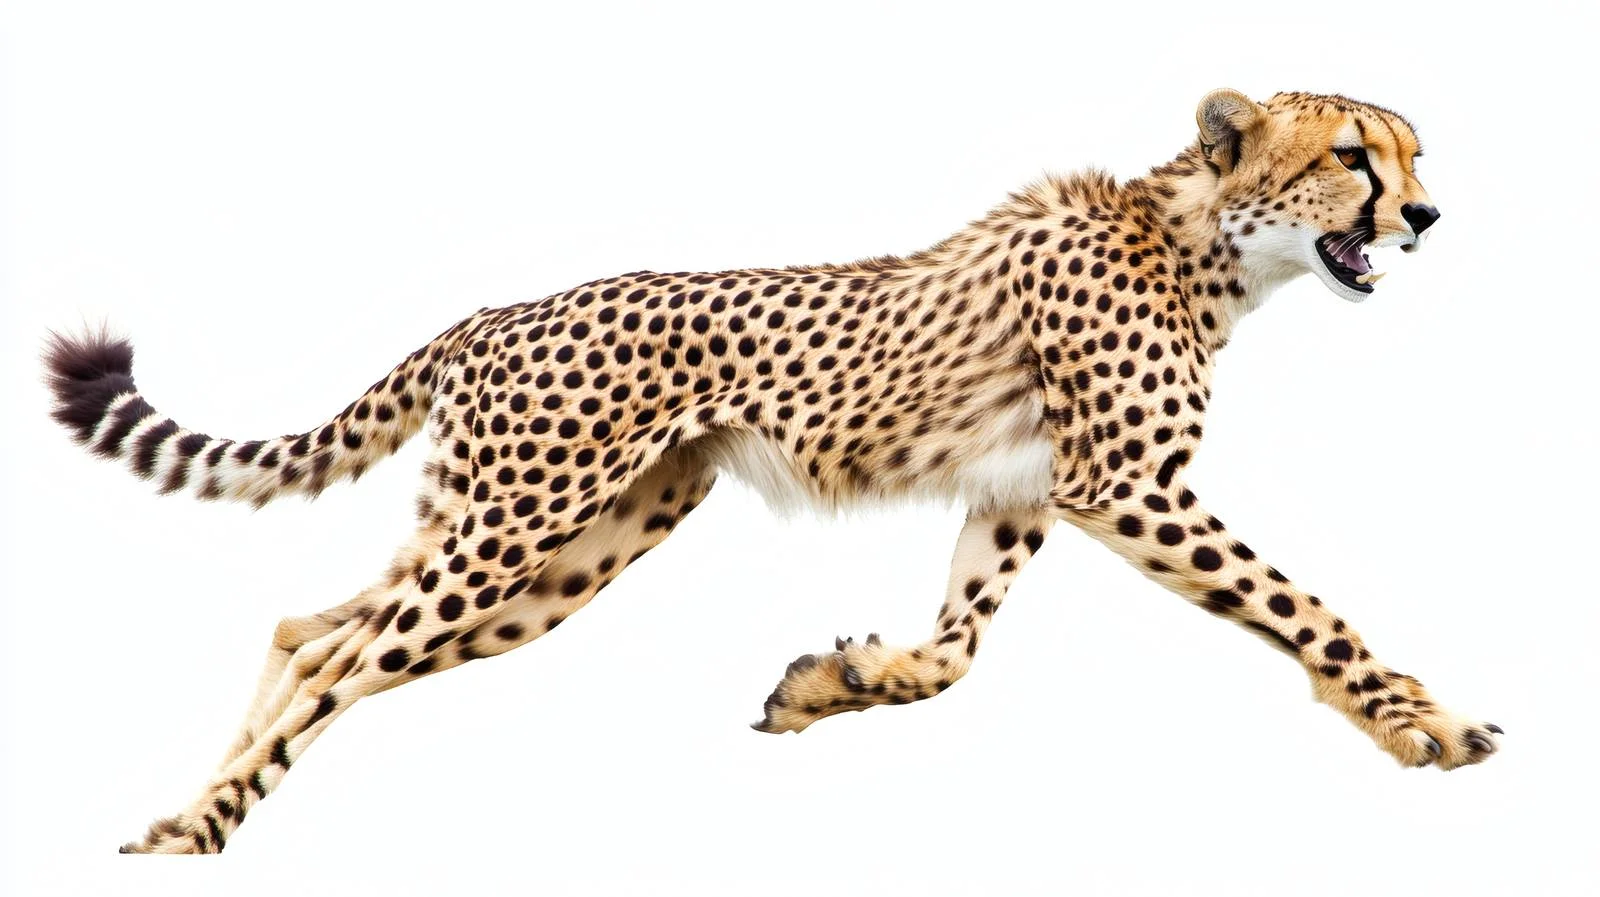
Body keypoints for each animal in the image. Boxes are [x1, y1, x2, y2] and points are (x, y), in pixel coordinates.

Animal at [43, 89, 1499, 854]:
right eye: (1352, 157)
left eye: (1413, 155)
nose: (1429, 215)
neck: (1203, 243)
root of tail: (496, 311)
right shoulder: (1125, 488)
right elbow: (1304, 606)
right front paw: (1424, 722)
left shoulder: (1020, 492)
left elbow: (956, 651)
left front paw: (829, 684)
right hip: (518, 533)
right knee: (344, 652)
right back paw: (205, 821)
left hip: (568, 548)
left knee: (314, 629)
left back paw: (190, 818)